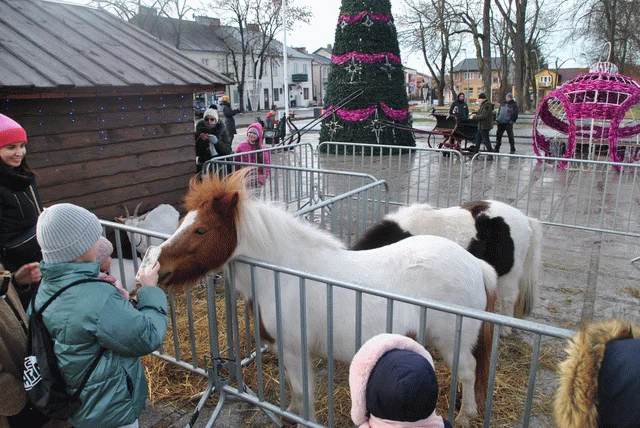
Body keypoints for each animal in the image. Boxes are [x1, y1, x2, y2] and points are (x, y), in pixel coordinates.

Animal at [158, 170, 498, 424]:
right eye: (183, 221)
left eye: (201, 230)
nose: (160, 268)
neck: (285, 274)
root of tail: (476, 265)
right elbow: (296, 397)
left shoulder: (295, 351)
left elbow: (302, 395)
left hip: (453, 341)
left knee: (467, 372)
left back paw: (466, 415)